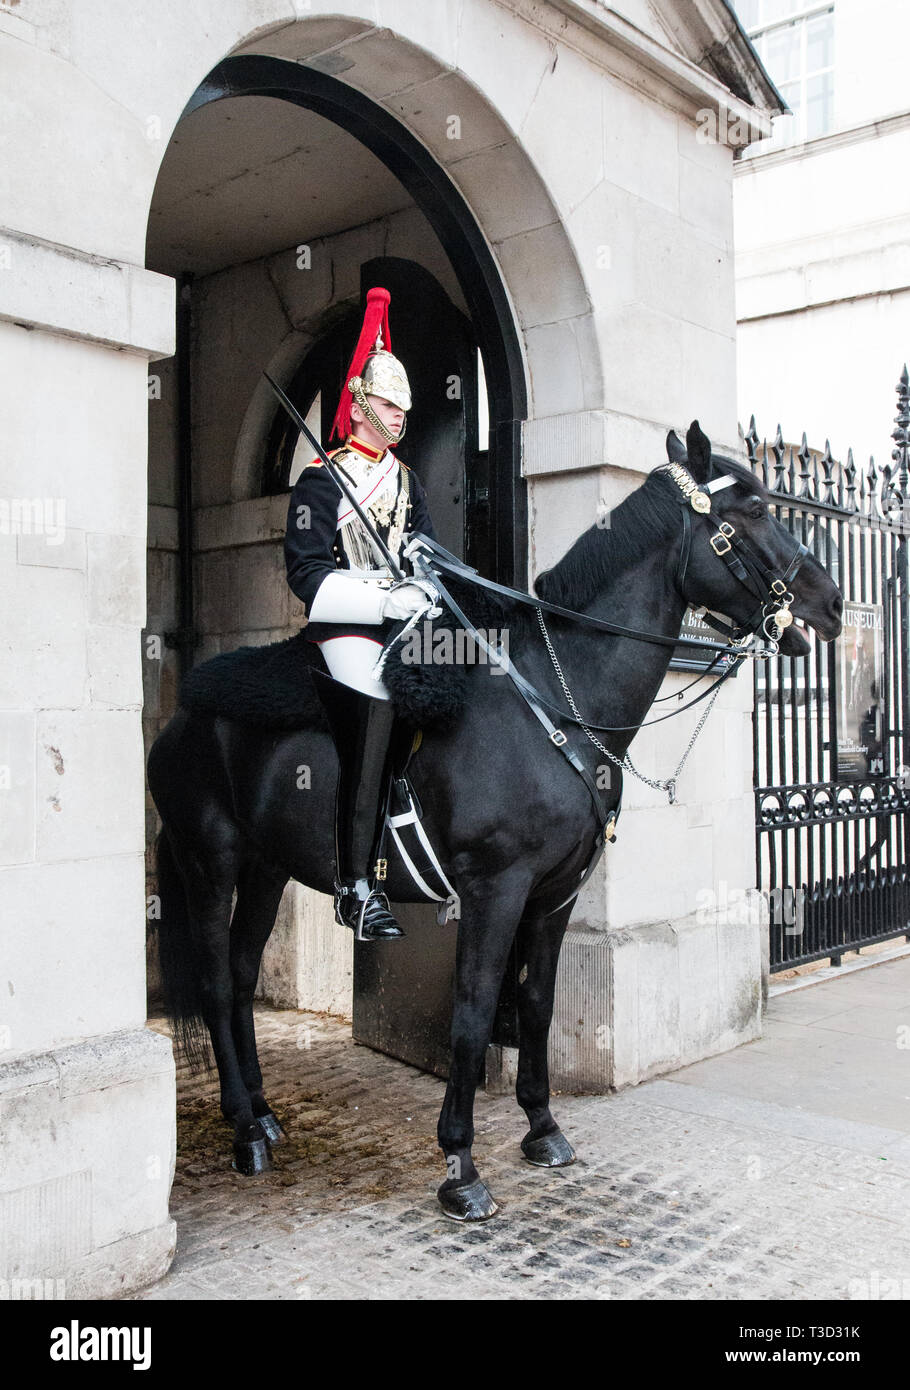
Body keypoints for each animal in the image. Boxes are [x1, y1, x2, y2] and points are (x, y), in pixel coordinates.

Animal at [147, 419, 839, 1217]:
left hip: (267, 869)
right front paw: (460, 1166)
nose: (831, 604)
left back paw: (260, 1113)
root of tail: (183, 712)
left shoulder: (554, 892)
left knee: (238, 972)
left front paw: (543, 1127)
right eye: (751, 508)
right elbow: (476, 1011)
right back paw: (245, 1134)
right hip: (212, 862)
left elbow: (535, 1002)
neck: (555, 697)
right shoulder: (494, 887)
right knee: (215, 981)